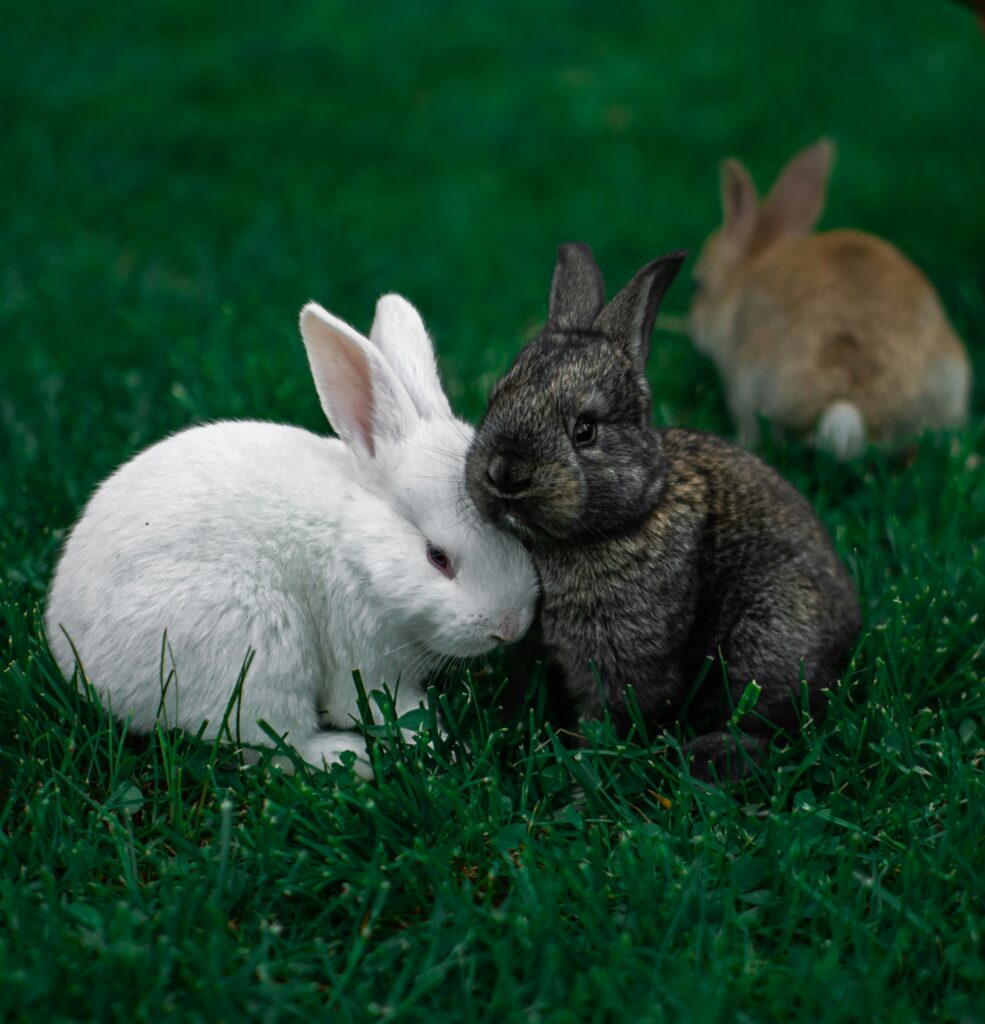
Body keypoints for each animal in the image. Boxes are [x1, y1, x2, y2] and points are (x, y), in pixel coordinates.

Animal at [45, 294, 539, 777]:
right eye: (437, 556)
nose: (510, 628)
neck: (356, 546)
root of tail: (74, 657)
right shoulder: (362, 654)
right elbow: (386, 707)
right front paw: (447, 746)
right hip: (257, 647)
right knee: (275, 745)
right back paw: (349, 757)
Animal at [465, 243, 861, 780]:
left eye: (585, 430)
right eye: (494, 399)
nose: (505, 473)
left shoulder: (619, 657)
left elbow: (611, 710)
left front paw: (584, 764)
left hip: (772, 636)